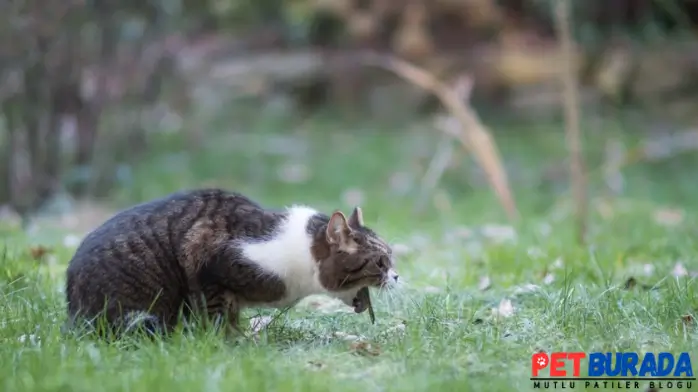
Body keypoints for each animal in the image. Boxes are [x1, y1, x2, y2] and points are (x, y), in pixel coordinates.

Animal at [64, 188, 396, 336]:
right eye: (381, 262)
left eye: (391, 258)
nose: (396, 276)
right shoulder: (207, 263)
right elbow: (219, 315)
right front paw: (231, 343)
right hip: (141, 311)